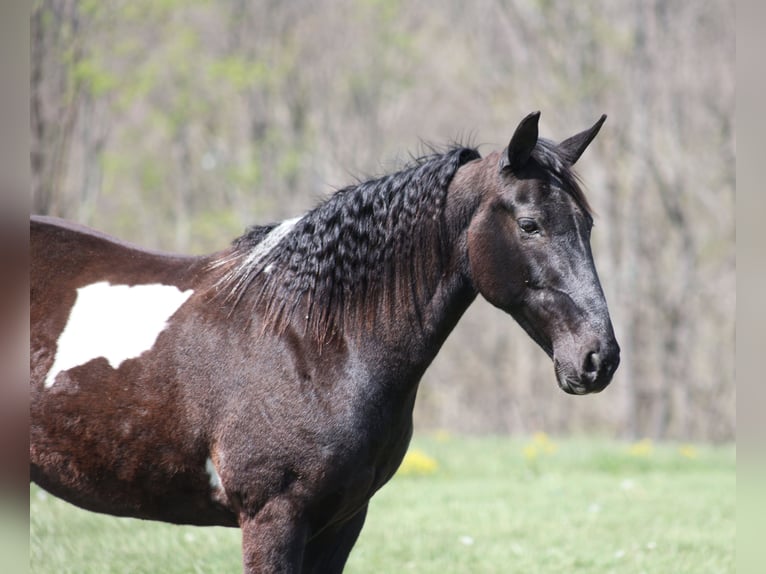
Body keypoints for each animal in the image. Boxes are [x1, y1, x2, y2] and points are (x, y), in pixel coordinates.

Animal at [30, 111, 619, 573]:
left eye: (588, 225)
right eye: (530, 224)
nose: (599, 358)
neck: (312, 341)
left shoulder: (341, 522)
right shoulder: (272, 520)